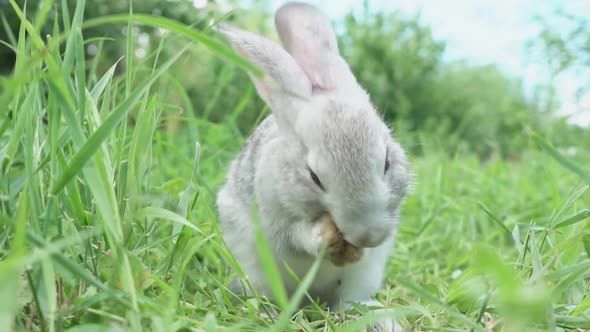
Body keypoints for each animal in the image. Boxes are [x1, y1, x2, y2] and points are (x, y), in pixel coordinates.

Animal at [216, 1, 412, 330]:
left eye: (386, 161)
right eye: (314, 176)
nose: (369, 236)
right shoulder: (276, 221)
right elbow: (297, 237)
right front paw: (324, 238)